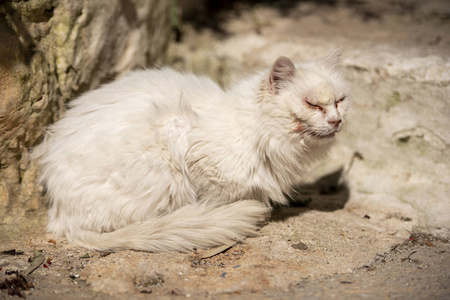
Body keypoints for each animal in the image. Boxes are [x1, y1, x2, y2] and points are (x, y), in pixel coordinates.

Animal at [34, 48, 348, 252]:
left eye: (340, 101)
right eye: (312, 104)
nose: (337, 120)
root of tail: (62, 216)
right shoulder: (201, 160)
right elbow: (219, 198)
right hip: (164, 158)